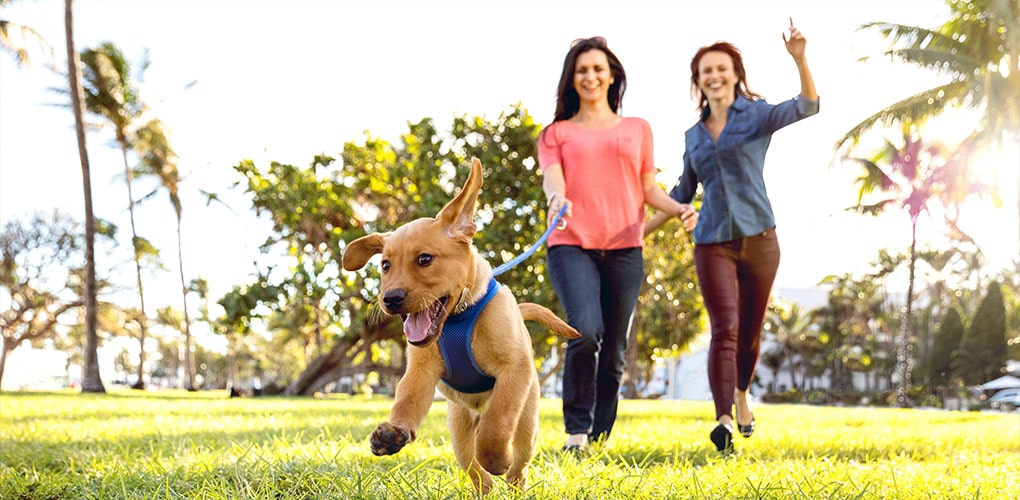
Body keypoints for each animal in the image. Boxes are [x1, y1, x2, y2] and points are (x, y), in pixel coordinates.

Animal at [342, 158, 579, 493]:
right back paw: (485, 486)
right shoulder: (420, 371)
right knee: (473, 466)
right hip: (458, 427)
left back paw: (512, 480)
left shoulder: (514, 369)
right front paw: (394, 431)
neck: (458, 317)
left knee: (518, 462)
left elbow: (498, 420)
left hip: (528, 424)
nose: (390, 299)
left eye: (424, 259)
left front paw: (497, 457)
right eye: (385, 265)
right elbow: (406, 401)